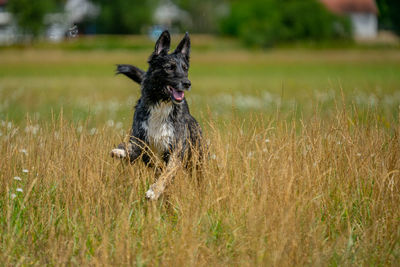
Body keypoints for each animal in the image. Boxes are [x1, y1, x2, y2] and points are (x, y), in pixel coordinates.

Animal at [110, 30, 202, 200]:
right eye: (169, 67)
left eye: (185, 68)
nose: (187, 83)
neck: (161, 104)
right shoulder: (141, 141)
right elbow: (132, 148)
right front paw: (121, 150)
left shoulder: (176, 151)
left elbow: (167, 173)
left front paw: (155, 190)